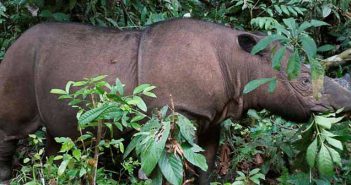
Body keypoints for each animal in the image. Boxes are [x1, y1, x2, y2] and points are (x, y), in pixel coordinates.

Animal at [0, 18, 351, 184]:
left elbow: (205, 163)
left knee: (58, 139)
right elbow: (168, 166)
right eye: (303, 81)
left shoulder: (211, 114)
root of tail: (14, 43)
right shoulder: (173, 112)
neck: (240, 64)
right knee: (11, 131)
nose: (345, 104)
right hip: (18, 60)